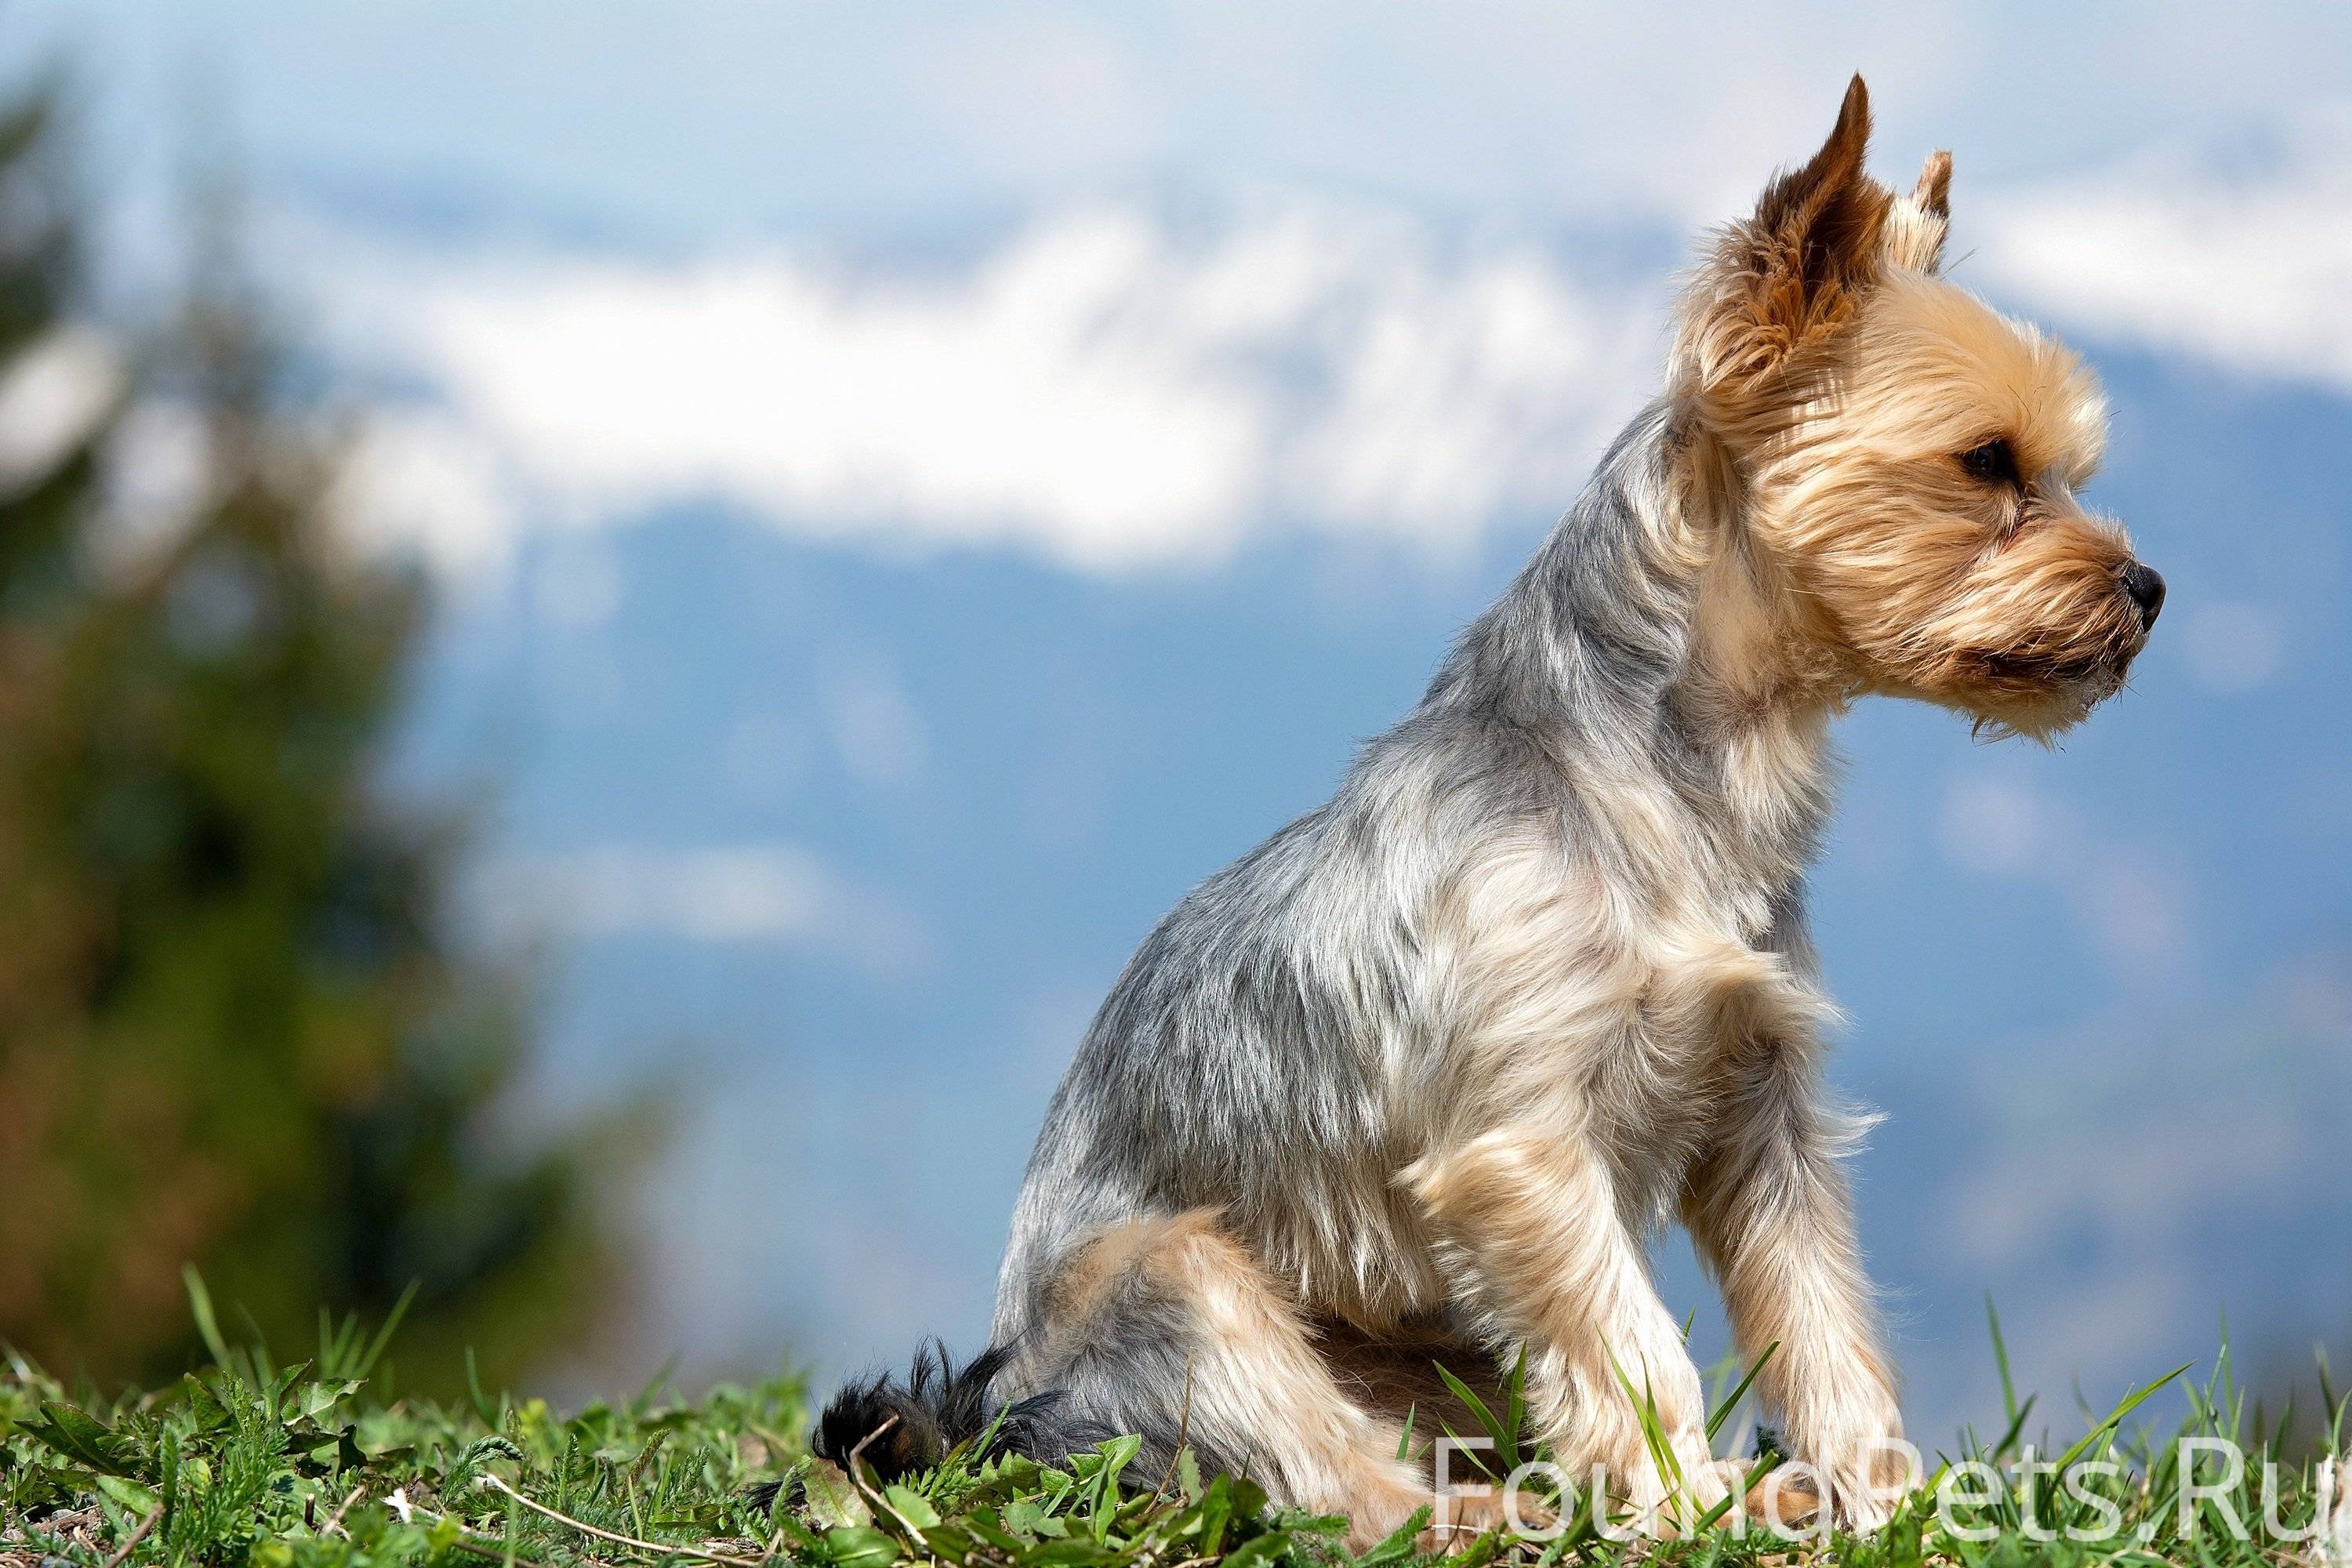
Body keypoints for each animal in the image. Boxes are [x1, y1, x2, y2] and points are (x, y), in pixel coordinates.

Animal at [818, 79, 2154, 1542]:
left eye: (2067, 468)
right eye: (1986, 462)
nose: (2148, 589)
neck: (1683, 771)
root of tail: (1002, 1409)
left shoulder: (1766, 1106)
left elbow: (1819, 1311)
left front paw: (1882, 1494)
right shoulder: (1525, 1146)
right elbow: (1633, 1347)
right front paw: (1689, 1505)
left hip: (1449, 1354)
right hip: (1180, 1284)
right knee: (1336, 1483)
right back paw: (1489, 1515)